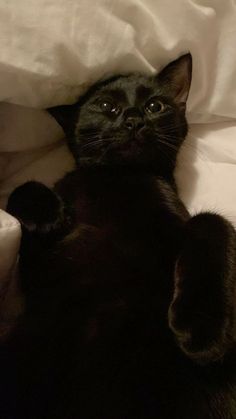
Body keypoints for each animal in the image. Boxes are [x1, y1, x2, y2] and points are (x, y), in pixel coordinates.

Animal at [2, 54, 236, 418]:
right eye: (106, 106)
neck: (119, 178)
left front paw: (202, 333)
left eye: (155, 106)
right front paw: (48, 213)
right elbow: (22, 190)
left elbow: (211, 220)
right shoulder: (38, 275)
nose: (134, 118)